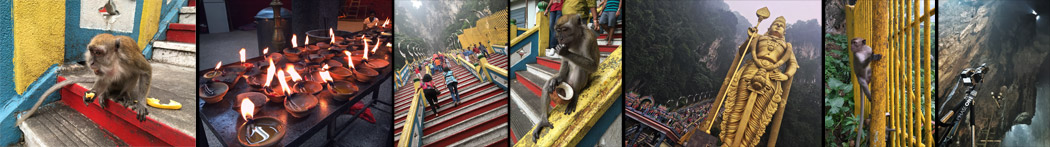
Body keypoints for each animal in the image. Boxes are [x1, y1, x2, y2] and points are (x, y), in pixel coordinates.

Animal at [14, 33, 152, 126]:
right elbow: (103, 79)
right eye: (91, 51)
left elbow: (146, 71)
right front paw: (94, 93)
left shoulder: (129, 57)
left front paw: (141, 103)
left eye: (98, 53)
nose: (91, 62)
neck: (115, 61)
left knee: (133, 74)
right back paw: (105, 93)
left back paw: (125, 94)